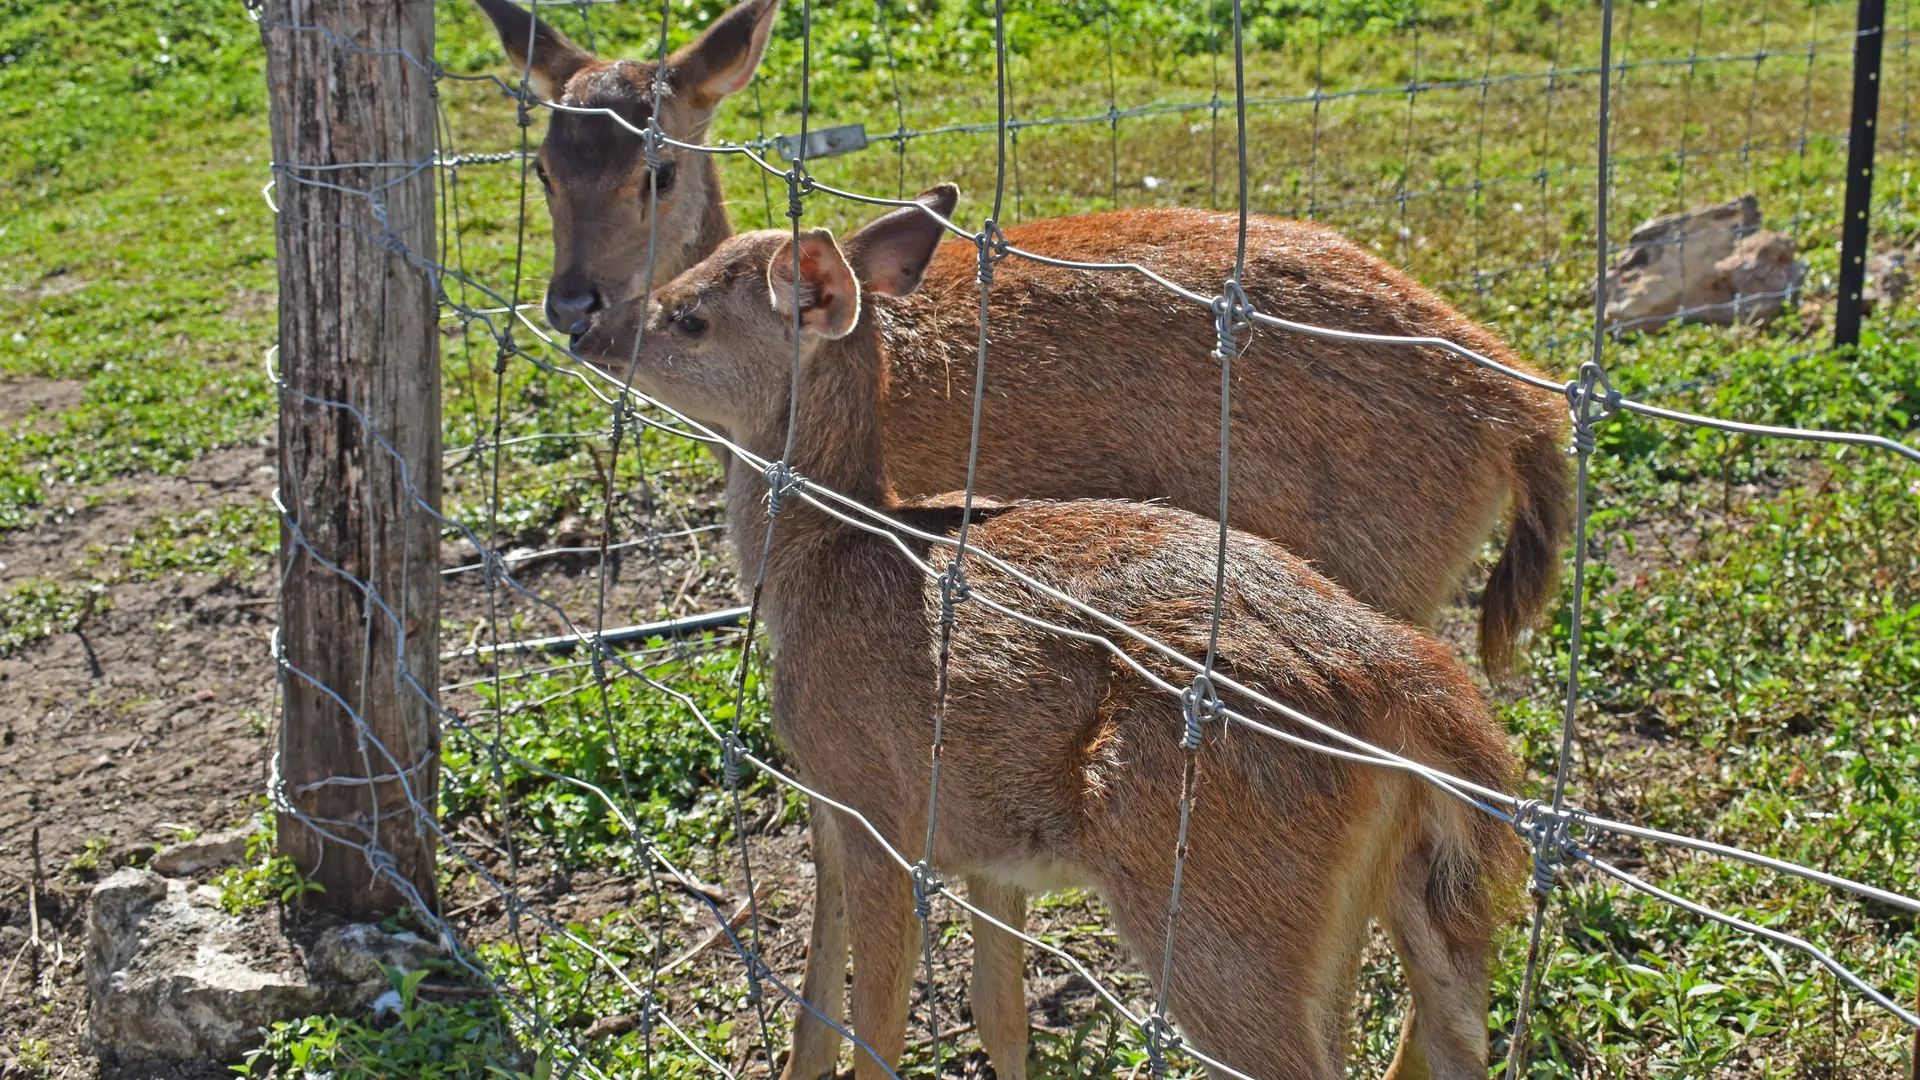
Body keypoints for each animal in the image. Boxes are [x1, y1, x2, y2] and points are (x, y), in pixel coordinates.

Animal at [568, 197, 1528, 1076]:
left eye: (689, 314)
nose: (586, 328)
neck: (827, 561)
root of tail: (1411, 684)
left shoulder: (875, 801)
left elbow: (875, 1027)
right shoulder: (957, 835)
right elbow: (973, 1010)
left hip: (1224, 917)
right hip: (1399, 893)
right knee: (1452, 1028)